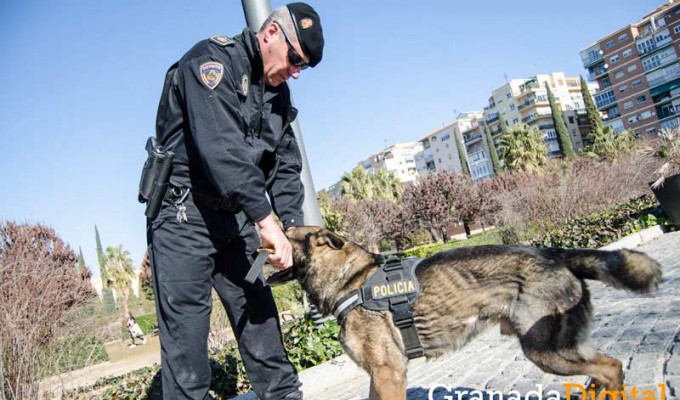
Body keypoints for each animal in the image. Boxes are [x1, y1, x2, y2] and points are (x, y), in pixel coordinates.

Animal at [268, 227, 660, 398]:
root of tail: (556, 253)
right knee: (602, 368)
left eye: (283, 233)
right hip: (561, 349)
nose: (259, 238)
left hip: (545, 351)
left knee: (611, 368)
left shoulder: (389, 373)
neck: (350, 280)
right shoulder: (379, 377)